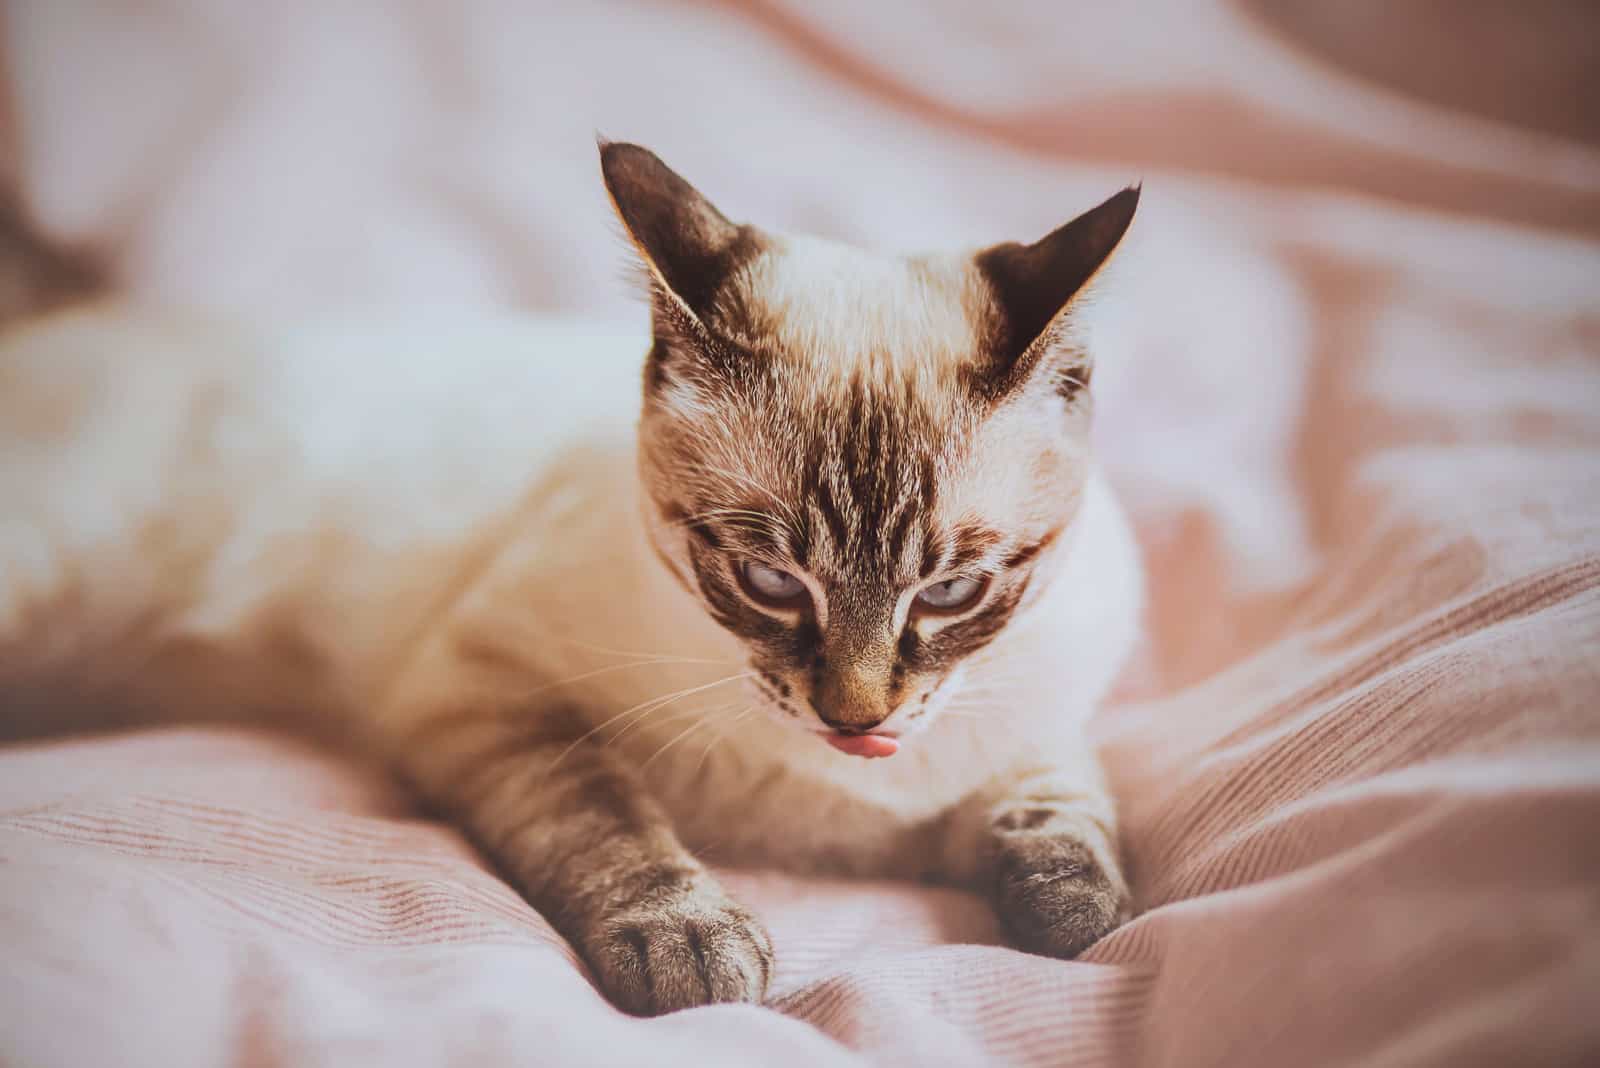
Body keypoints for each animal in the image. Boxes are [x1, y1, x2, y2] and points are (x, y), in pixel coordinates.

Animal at [3, 143, 1152, 1016]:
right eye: (769, 581)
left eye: (951, 592)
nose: (857, 718)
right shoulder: (487, 691)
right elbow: (606, 817)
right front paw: (692, 948)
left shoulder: (1023, 727)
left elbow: (1060, 814)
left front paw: (1084, 917)